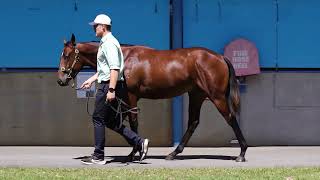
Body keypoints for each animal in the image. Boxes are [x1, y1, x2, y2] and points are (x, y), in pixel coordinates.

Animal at [57, 33, 248, 162]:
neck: (124, 58)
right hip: (196, 95)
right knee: (193, 122)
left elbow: (133, 122)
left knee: (230, 118)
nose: (61, 79)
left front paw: (135, 152)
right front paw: (136, 150)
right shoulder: (123, 99)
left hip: (216, 96)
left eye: (66, 55)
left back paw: (241, 153)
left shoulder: (132, 96)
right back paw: (173, 153)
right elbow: (121, 122)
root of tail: (220, 57)